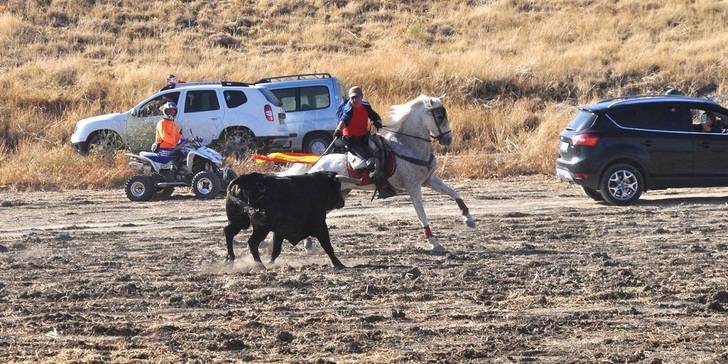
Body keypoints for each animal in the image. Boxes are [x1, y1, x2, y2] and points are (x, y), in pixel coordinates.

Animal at [282, 95, 474, 252]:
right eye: (440, 116)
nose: (448, 139)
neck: (407, 145)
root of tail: (316, 164)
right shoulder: (413, 187)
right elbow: (421, 213)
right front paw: (434, 243)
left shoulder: (429, 180)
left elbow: (453, 192)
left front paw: (468, 218)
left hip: (341, 194)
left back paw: (308, 244)